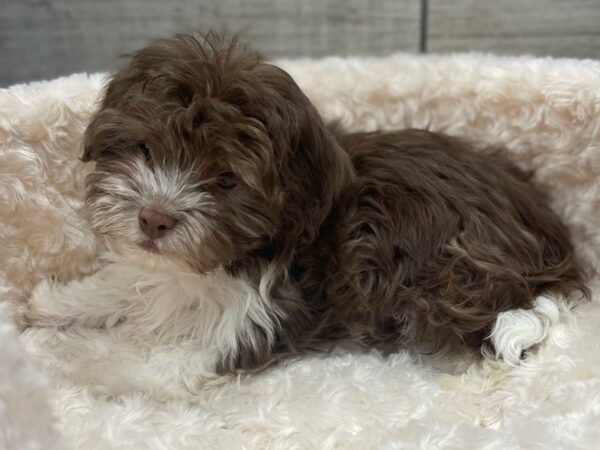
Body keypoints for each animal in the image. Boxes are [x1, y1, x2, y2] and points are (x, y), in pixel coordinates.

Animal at [24, 33, 584, 374]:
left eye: (226, 180)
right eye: (145, 149)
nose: (154, 219)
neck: (224, 263)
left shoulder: (263, 314)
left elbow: (178, 361)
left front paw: (104, 368)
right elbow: (126, 282)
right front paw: (58, 305)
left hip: (442, 265)